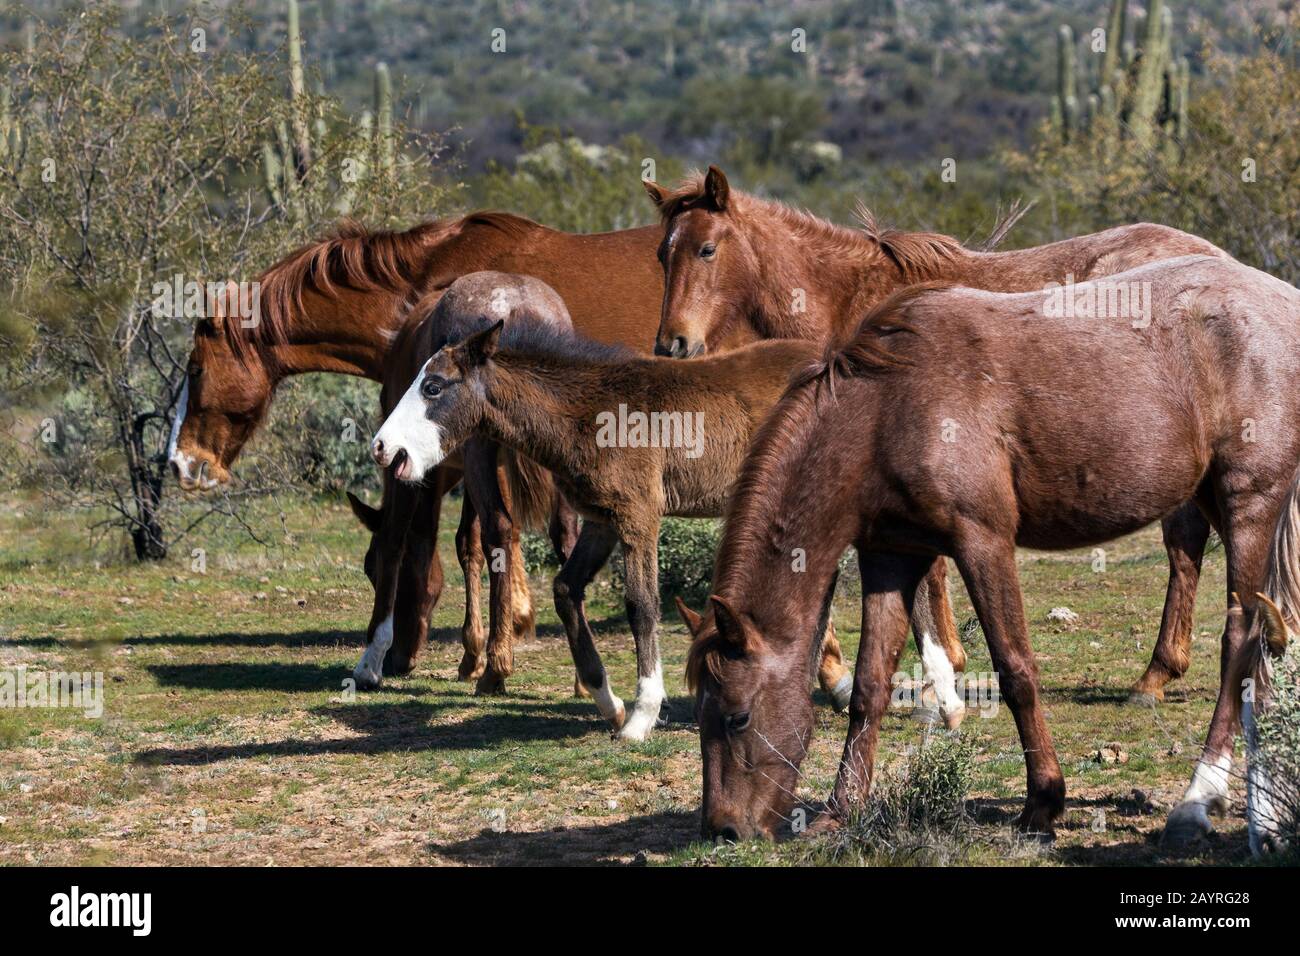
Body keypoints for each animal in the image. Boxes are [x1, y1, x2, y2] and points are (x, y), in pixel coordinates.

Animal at [366, 314, 956, 738]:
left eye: (435, 386)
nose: (383, 449)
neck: (592, 411)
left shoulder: (639, 518)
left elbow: (642, 606)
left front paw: (642, 716)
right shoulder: (603, 521)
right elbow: (565, 590)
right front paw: (608, 702)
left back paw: (945, 700)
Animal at [644, 166, 1232, 712]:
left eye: (707, 249)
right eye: (661, 255)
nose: (672, 345)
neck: (851, 299)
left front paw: (937, 673)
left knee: (1184, 545)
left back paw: (1157, 674)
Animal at [676, 256, 1300, 842]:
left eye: (737, 717)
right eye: (702, 714)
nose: (724, 829)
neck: (885, 407)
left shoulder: (983, 541)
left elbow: (1015, 669)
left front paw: (1043, 801)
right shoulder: (890, 557)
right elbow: (871, 686)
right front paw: (840, 809)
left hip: (1249, 504)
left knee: (1241, 643)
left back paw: (1201, 796)